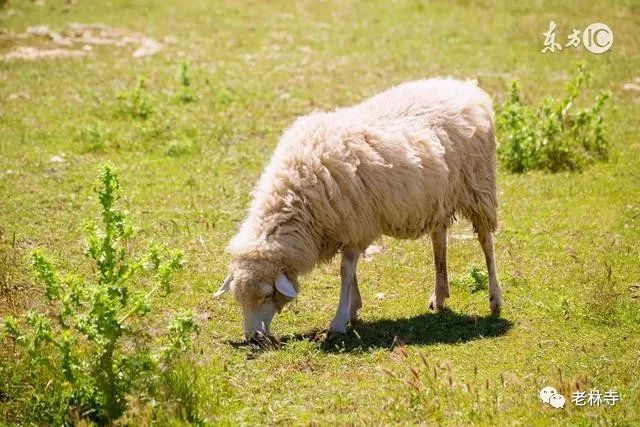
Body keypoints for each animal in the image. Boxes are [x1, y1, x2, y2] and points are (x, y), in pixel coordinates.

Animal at [215, 76, 504, 338]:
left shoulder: (354, 224)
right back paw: (440, 295)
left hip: (479, 186)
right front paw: (352, 310)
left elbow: (345, 272)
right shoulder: (347, 226)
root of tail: (467, 87)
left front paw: (339, 321)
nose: (253, 337)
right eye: (239, 300)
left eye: (266, 295)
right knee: (439, 240)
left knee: (486, 242)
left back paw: (495, 299)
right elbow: (350, 272)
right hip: (438, 197)